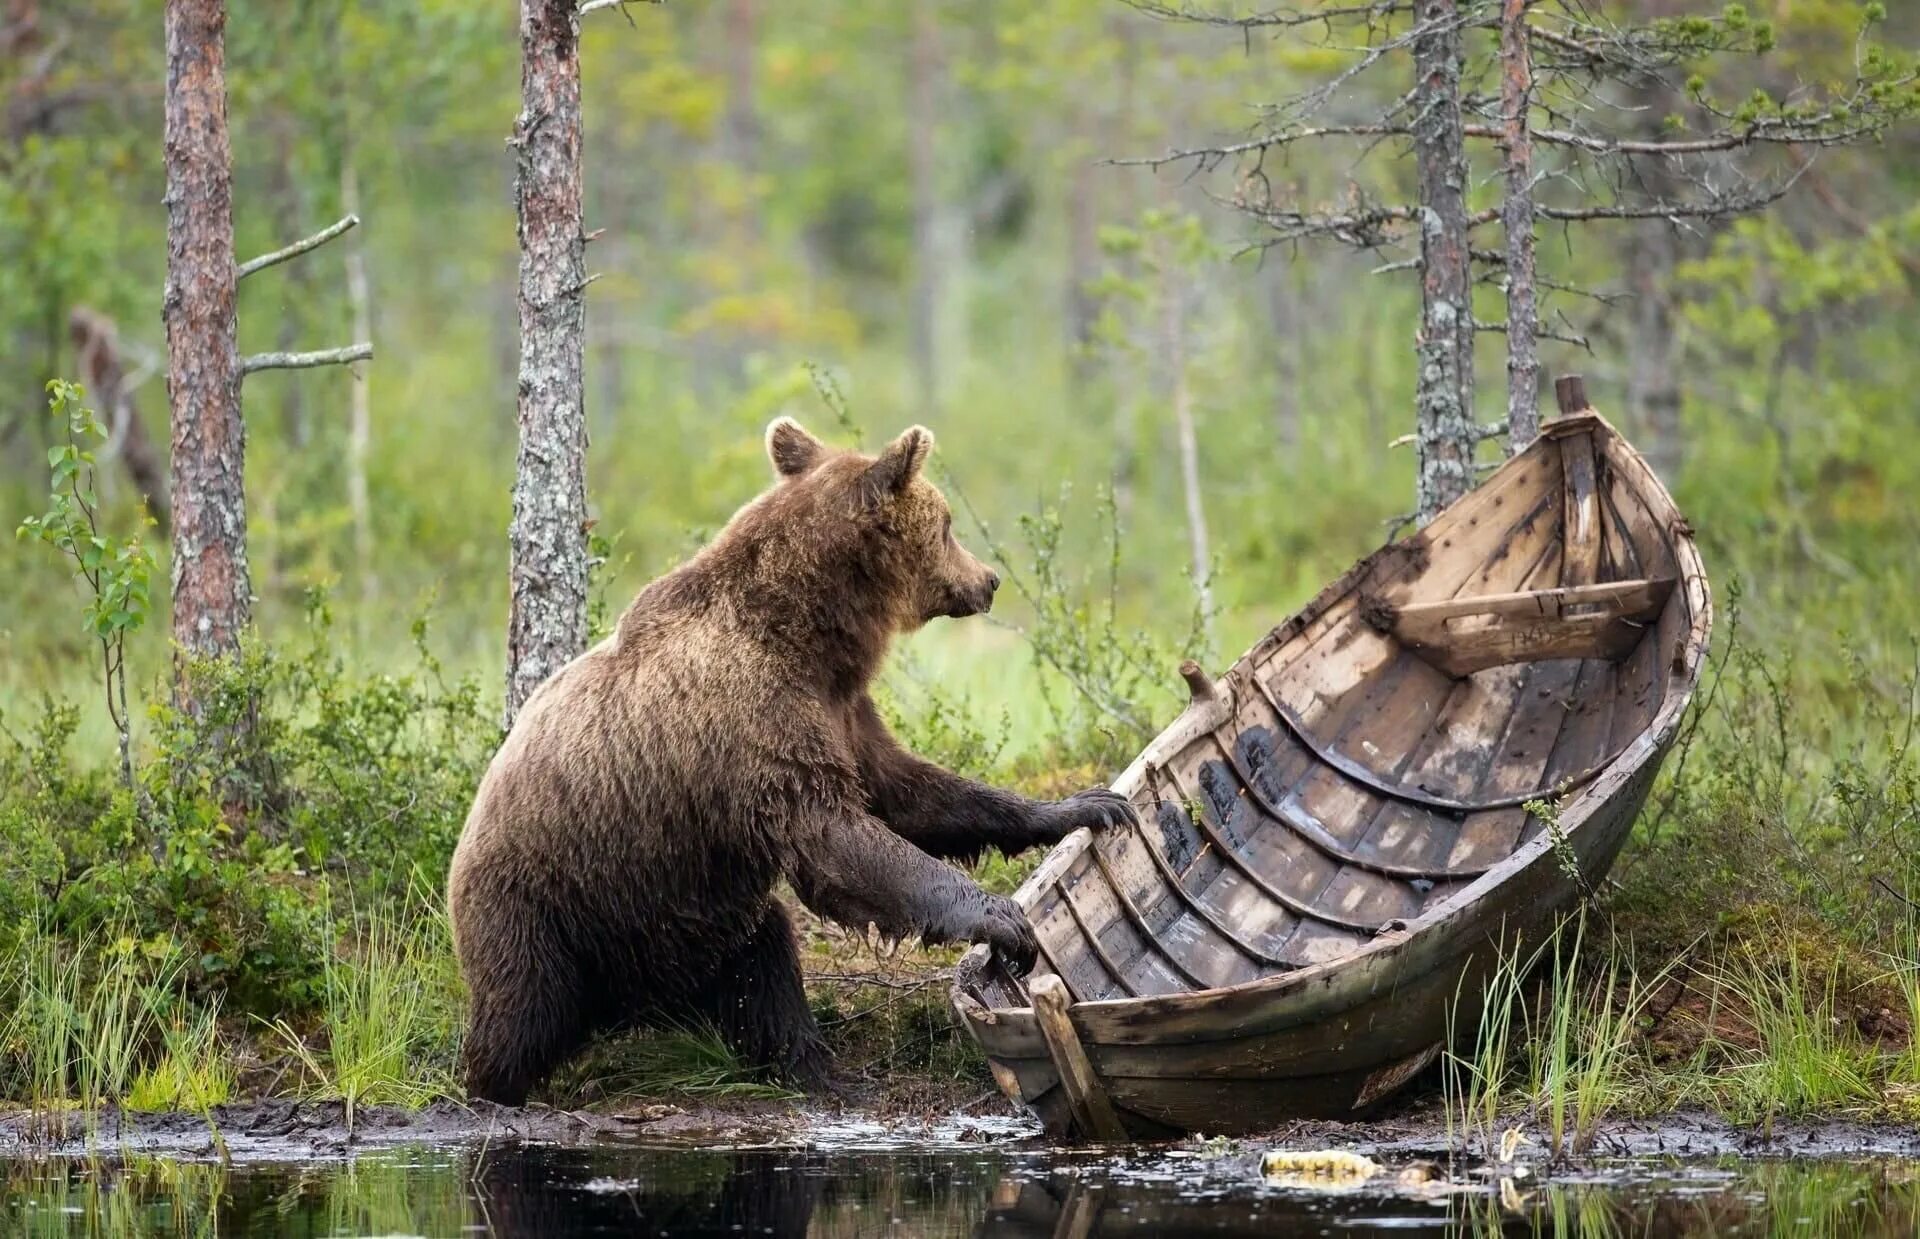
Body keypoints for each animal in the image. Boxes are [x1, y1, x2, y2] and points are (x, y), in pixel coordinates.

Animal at [449, 418, 1136, 1098]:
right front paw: (1003, 918)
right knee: (524, 1016)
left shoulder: (840, 712)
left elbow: (907, 792)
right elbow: (837, 834)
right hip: (549, 906)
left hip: (693, 913)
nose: (988, 579)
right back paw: (494, 1085)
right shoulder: (754, 722)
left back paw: (814, 1068)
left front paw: (1086, 807)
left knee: (764, 968)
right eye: (947, 524)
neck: (808, 636)